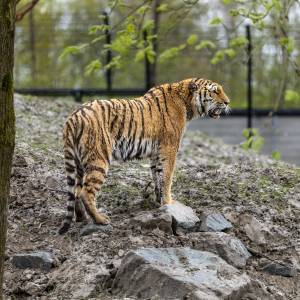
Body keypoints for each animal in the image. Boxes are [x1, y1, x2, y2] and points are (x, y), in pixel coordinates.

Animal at [58, 78, 230, 234]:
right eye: (215, 91)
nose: (227, 103)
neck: (187, 102)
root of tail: (73, 117)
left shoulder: (156, 153)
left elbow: (158, 178)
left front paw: (160, 203)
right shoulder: (169, 149)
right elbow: (168, 177)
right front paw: (169, 202)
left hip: (79, 163)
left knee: (76, 191)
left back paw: (82, 218)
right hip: (99, 158)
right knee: (85, 192)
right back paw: (101, 220)